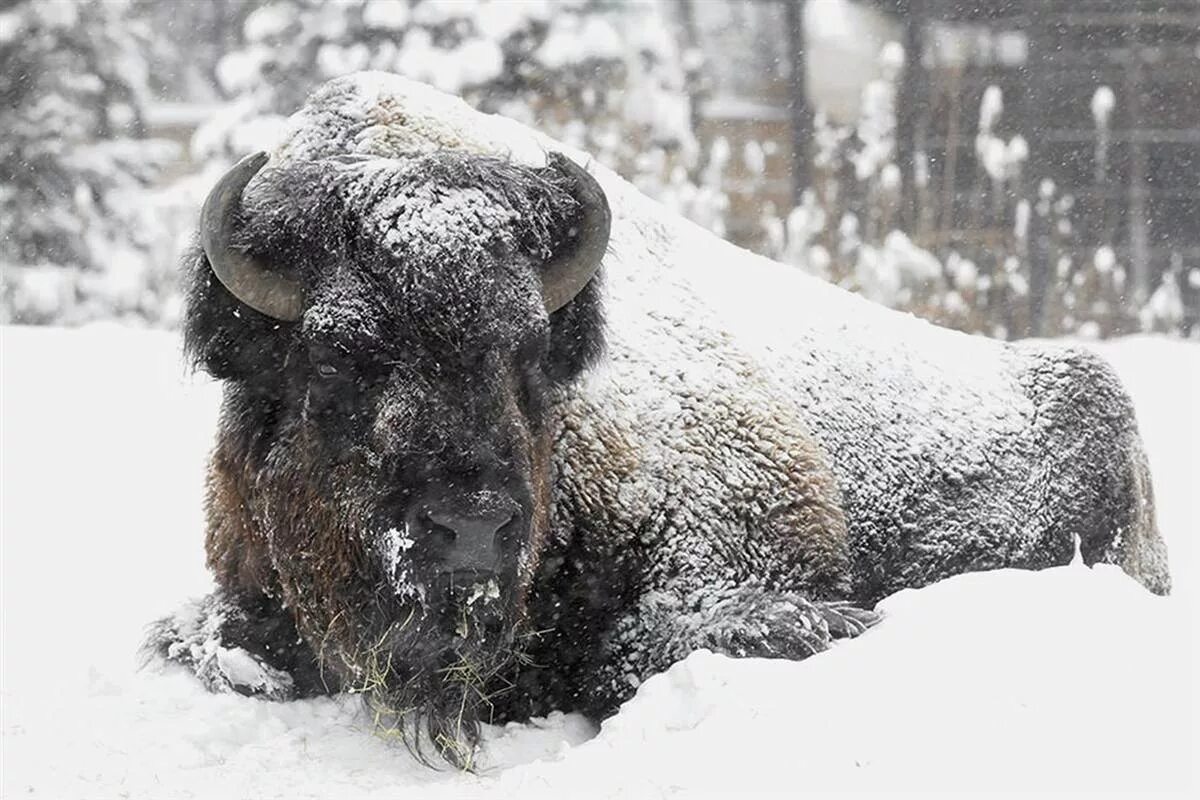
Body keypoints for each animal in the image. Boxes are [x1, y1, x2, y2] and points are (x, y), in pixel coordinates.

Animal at [150, 74, 1171, 767]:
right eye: (334, 357)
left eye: (529, 354)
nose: (472, 528)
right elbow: (206, 647)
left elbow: (637, 650)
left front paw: (836, 626)